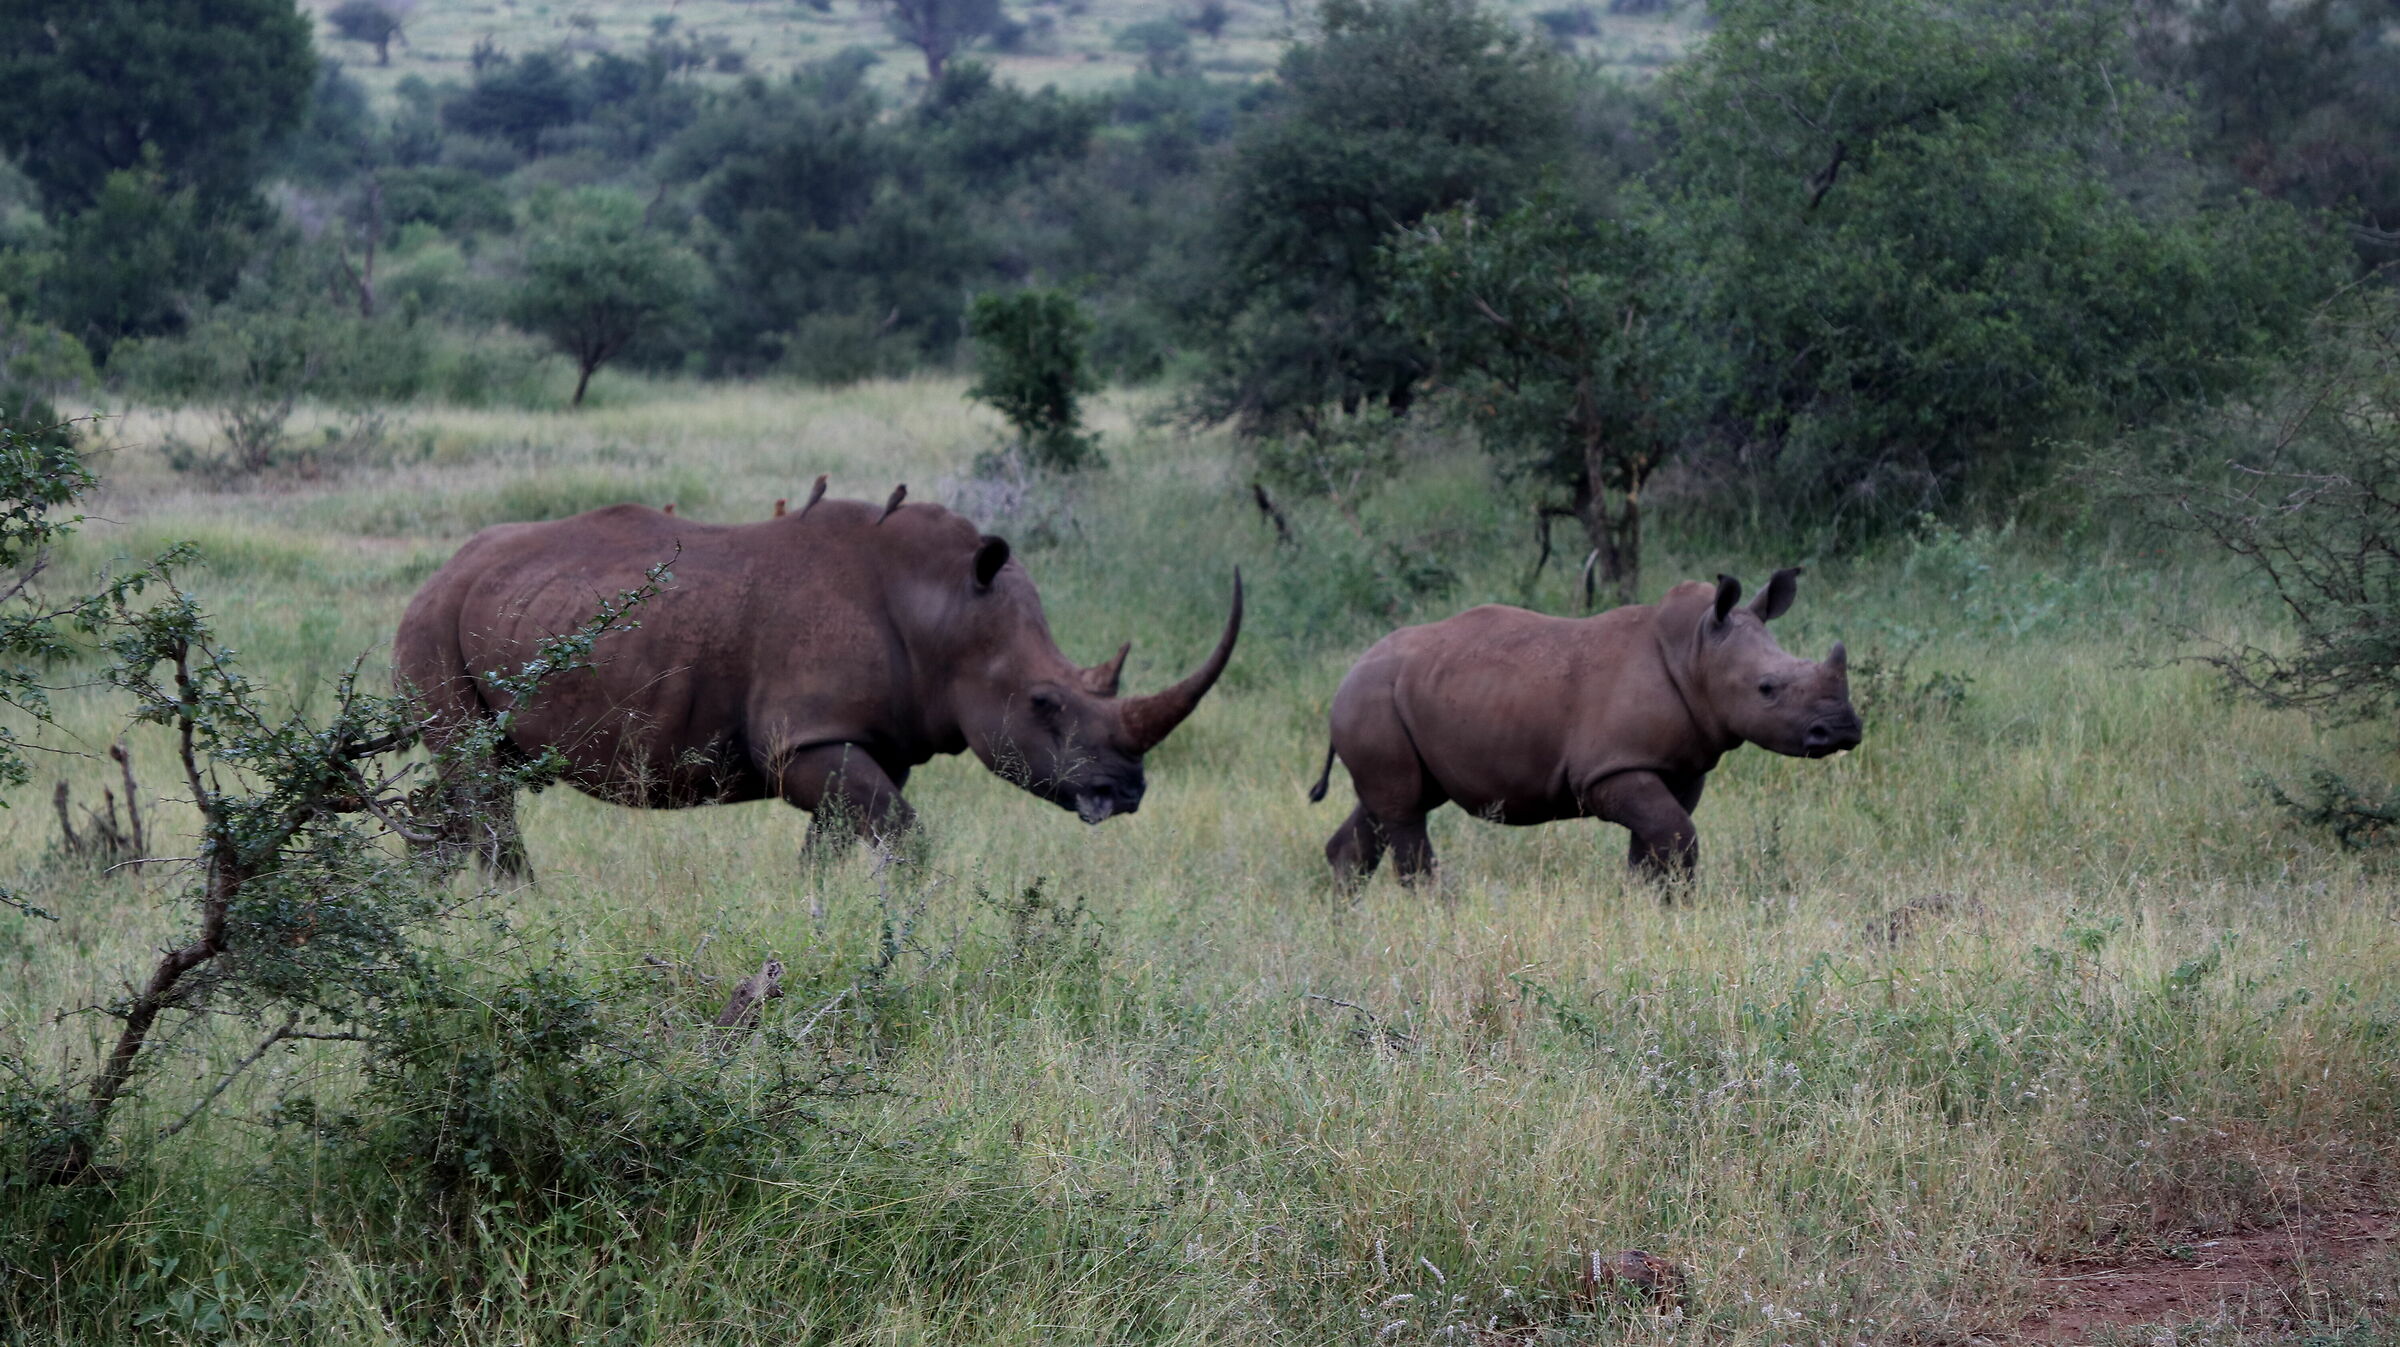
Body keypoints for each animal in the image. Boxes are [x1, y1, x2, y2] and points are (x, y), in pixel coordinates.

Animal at [394, 493, 1241, 875]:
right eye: (1044, 703)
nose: (1126, 793)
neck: (945, 612)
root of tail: (442, 568)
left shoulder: (865, 741)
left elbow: (831, 845)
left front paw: (817, 916)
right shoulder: (805, 739)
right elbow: (905, 835)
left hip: (490, 611)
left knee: (468, 779)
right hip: (434, 620)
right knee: (478, 778)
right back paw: (518, 907)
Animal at [1305, 570, 1859, 885]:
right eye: (1767, 689)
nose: (1844, 731)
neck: (1695, 652)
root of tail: (1348, 674)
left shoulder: (1676, 766)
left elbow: (1656, 845)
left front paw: (1649, 909)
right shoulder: (1607, 770)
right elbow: (1677, 835)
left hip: (1392, 700)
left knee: (1386, 806)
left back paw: (1347, 918)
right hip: (1371, 700)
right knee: (1404, 813)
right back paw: (1434, 913)